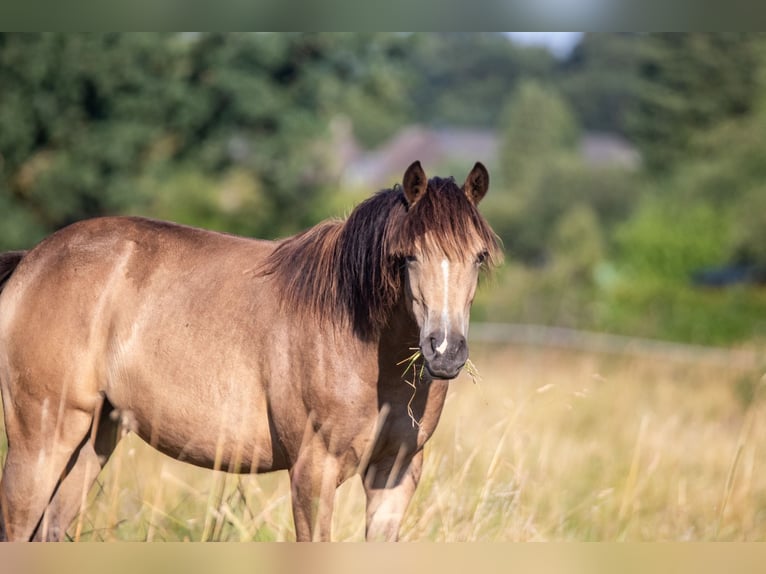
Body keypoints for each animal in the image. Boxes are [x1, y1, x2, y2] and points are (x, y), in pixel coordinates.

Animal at [0, 162, 504, 544]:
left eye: (478, 257)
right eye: (409, 256)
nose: (445, 351)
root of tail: (32, 262)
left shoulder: (394, 474)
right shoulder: (313, 472)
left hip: (95, 437)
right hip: (41, 437)